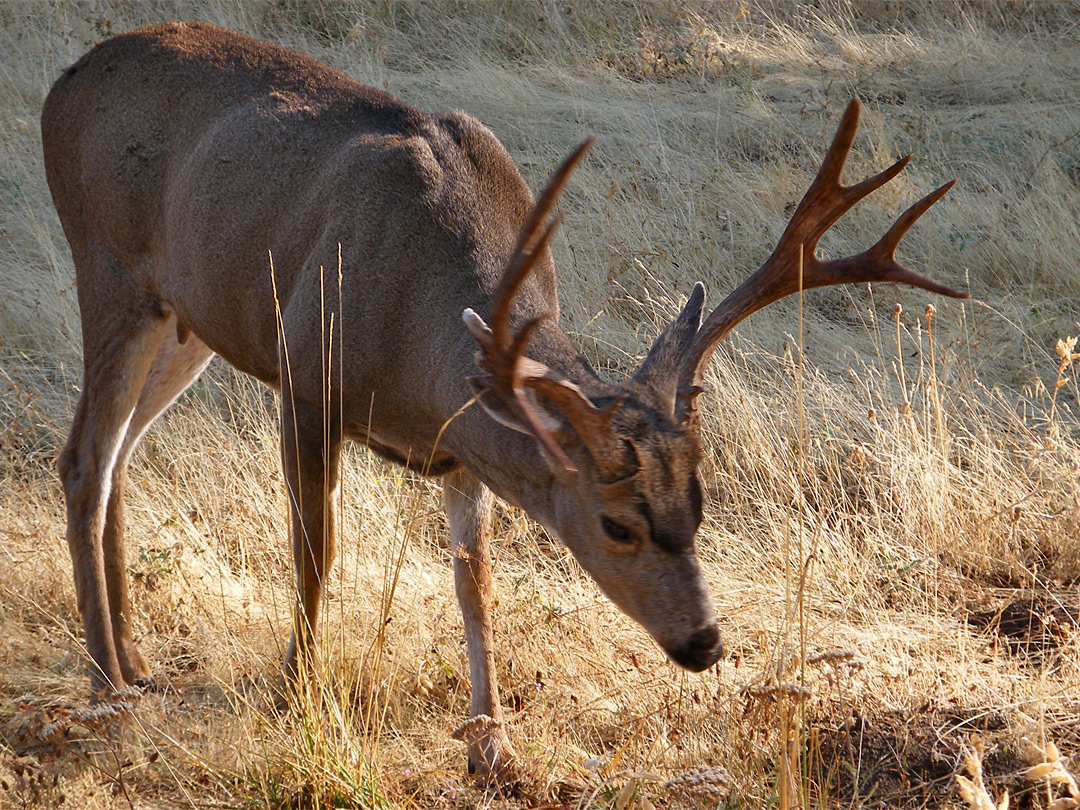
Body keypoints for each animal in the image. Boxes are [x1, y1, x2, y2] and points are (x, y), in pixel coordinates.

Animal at [42, 20, 972, 786]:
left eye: (701, 507)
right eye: (617, 525)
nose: (705, 643)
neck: (417, 336)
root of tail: (63, 83)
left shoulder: (462, 442)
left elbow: (476, 583)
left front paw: (493, 746)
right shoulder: (307, 376)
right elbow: (316, 552)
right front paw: (299, 697)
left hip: (186, 316)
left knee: (120, 454)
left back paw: (136, 659)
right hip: (110, 265)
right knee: (84, 455)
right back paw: (105, 683)